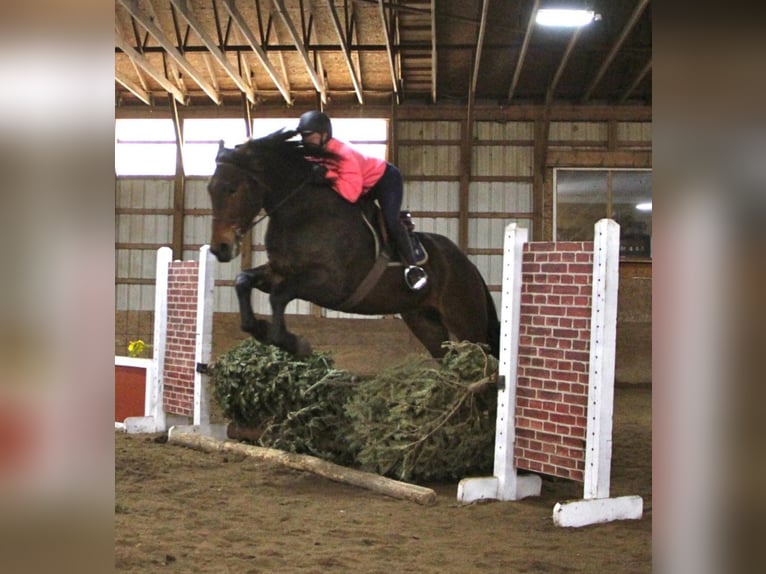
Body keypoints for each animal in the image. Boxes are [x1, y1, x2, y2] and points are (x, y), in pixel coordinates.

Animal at [207, 130, 500, 360]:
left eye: (232, 189)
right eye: (210, 189)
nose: (220, 248)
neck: (301, 212)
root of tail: (468, 265)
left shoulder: (329, 284)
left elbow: (279, 296)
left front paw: (295, 343)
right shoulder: (280, 272)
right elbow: (243, 281)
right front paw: (258, 329)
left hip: (466, 321)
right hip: (425, 322)